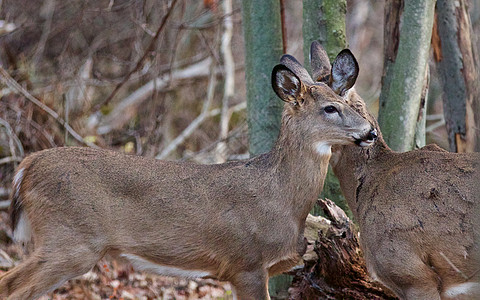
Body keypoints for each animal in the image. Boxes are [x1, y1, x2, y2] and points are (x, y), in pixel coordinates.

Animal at [0, 54, 376, 300]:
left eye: (346, 101)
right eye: (330, 108)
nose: (371, 132)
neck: (281, 200)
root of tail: (26, 166)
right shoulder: (246, 263)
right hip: (69, 240)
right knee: (12, 286)